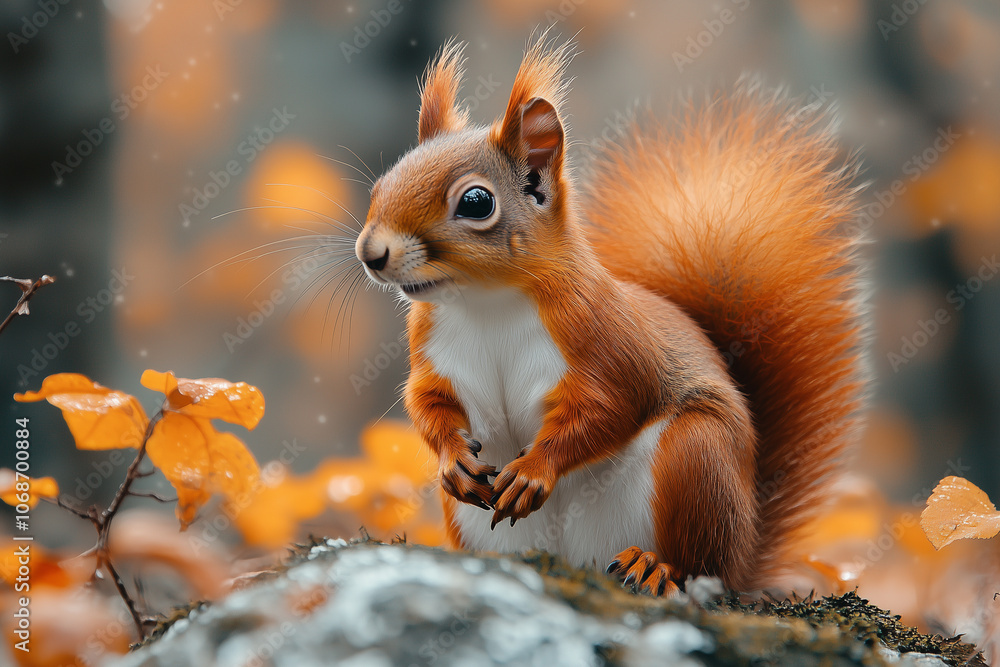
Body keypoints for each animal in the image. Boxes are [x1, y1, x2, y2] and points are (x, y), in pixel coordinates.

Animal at [355, 36, 866, 595]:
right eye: (382, 184)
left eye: (475, 201)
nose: (371, 253)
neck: (485, 302)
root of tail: (744, 557)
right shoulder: (431, 350)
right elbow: (428, 402)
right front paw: (452, 458)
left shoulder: (604, 336)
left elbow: (612, 405)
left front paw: (534, 470)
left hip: (697, 457)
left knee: (699, 564)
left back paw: (655, 566)